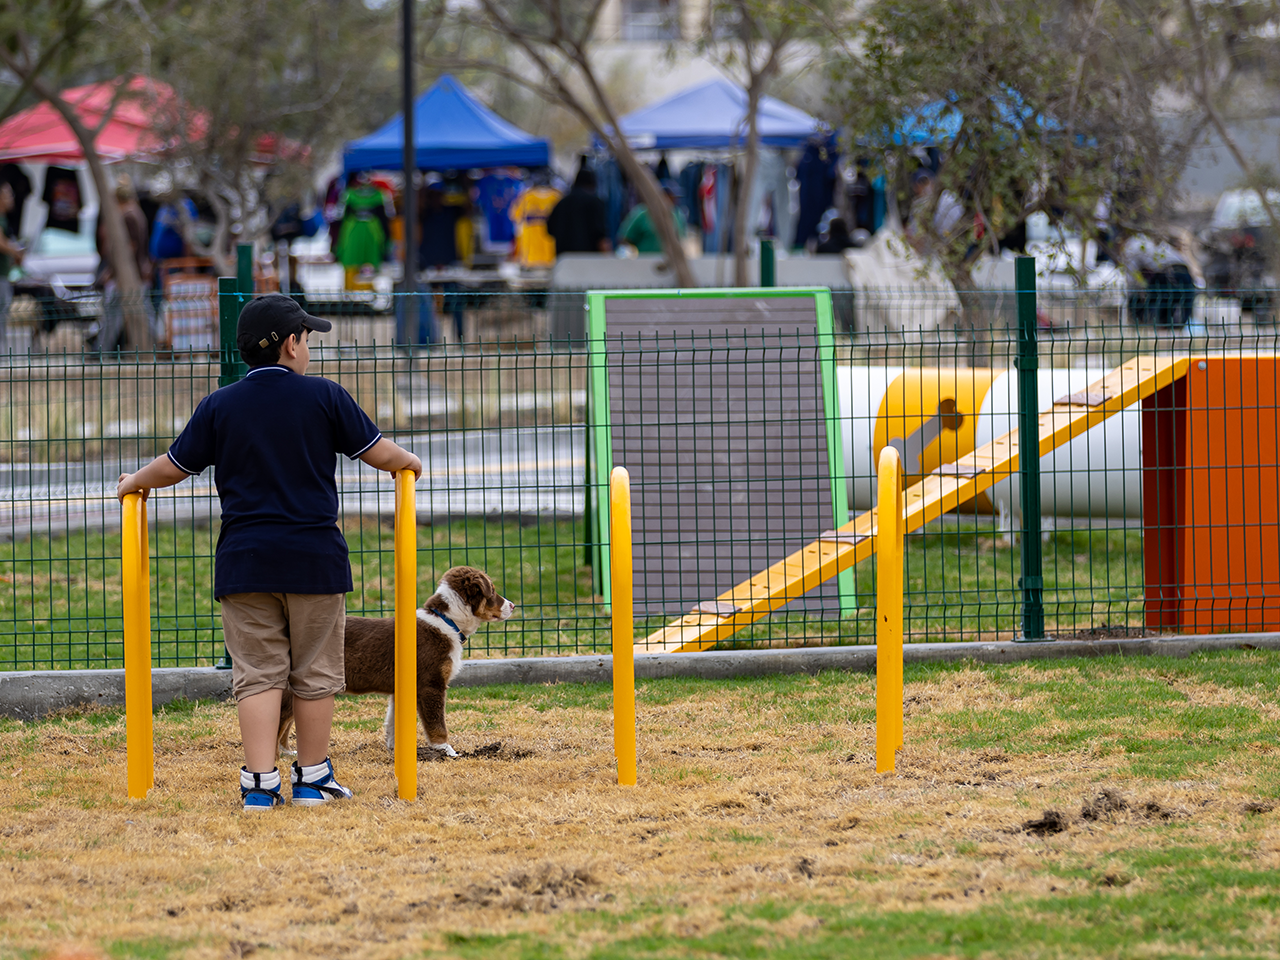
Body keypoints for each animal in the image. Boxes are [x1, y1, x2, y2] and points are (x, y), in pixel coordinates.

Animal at [277, 565, 515, 758]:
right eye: (493, 590)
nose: (513, 605)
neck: (446, 621)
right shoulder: (431, 685)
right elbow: (437, 724)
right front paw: (447, 751)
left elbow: (393, 721)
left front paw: (394, 749)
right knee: (279, 721)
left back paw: (287, 753)